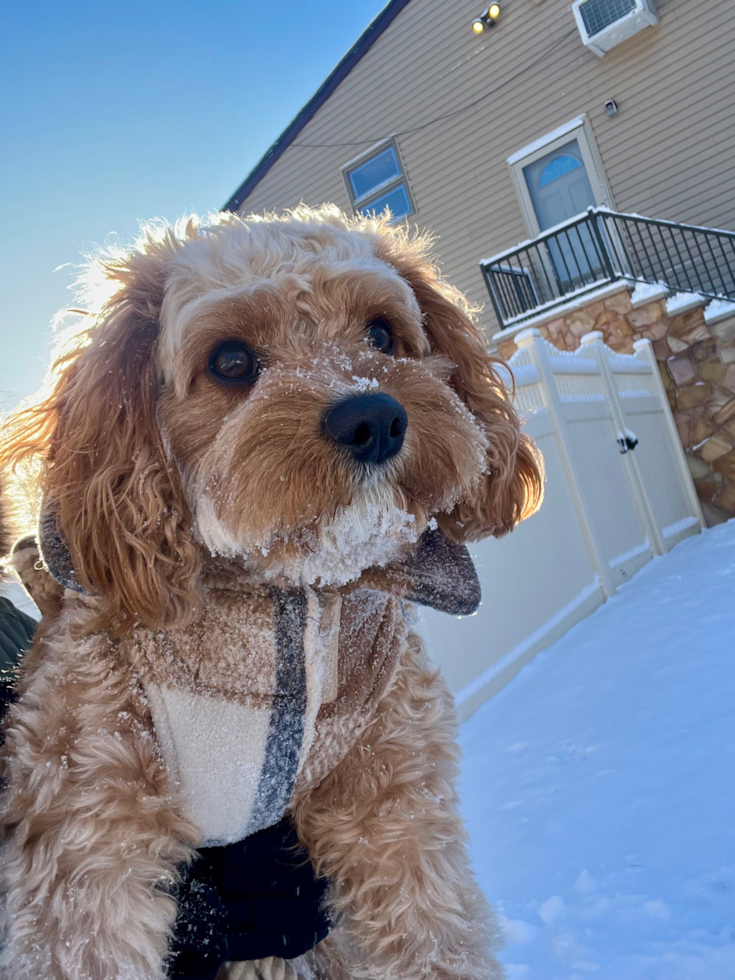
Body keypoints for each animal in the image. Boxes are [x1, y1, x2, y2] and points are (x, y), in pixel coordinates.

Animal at [0, 207, 540, 980]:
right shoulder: (84, 823)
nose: (375, 417)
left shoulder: (393, 786)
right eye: (230, 361)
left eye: (382, 334)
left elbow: (432, 932)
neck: (288, 602)